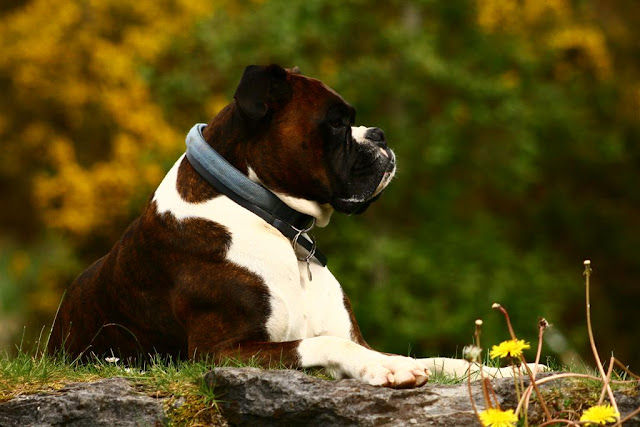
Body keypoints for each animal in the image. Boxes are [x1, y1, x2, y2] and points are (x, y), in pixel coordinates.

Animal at [46, 65, 524, 390]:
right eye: (336, 122)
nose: (379, 134)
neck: (273, 222)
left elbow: (445, 359)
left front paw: (511, 370)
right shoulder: (221, 353)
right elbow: (325, 344)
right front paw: (389, 367)